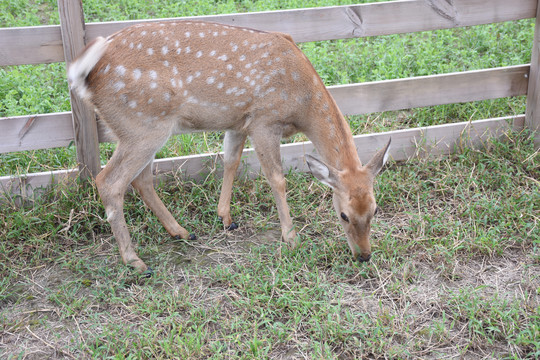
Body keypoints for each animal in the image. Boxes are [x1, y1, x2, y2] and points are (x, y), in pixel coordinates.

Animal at [67, 20, 390, 272]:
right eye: (343, 214)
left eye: (375, 210)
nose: (364, 255)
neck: (302, 102)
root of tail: (85, 73)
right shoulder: (264, 120)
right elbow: (277, 179)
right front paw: (291, 237)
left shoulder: (238, 122)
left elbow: (231, 160)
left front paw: (225, 218)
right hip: (142, 124)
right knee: (109, 181)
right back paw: (134, 260)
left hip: (144, 129)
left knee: (141, 179)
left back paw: (181, 232)